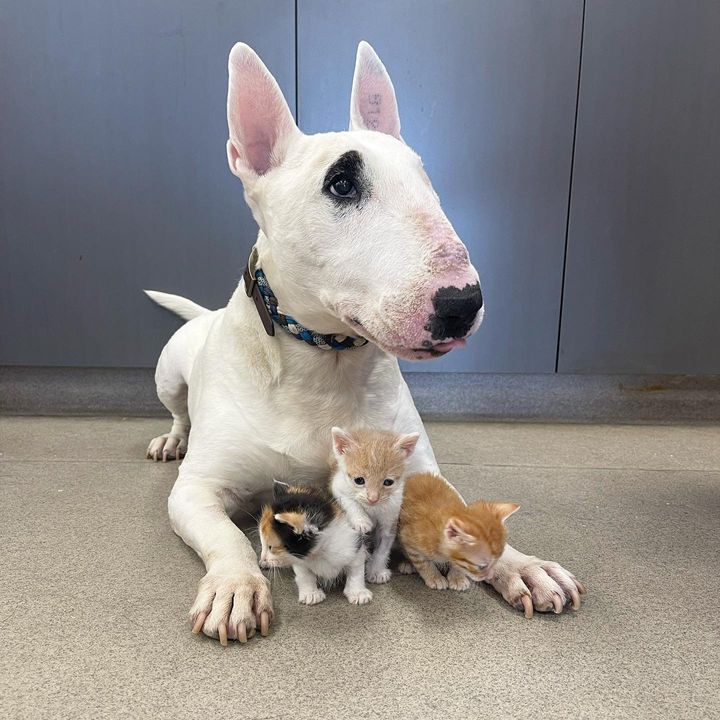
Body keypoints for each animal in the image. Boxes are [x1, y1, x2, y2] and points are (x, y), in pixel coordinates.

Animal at [330, 428, 420, 584]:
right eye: (359, 480)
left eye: (388, 482)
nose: (373, 498)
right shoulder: (338, 485)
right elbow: (351, 502)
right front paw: (361, 521)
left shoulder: (392, 513)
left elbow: (383, 547)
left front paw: (377, 570)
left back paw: (408, 564)